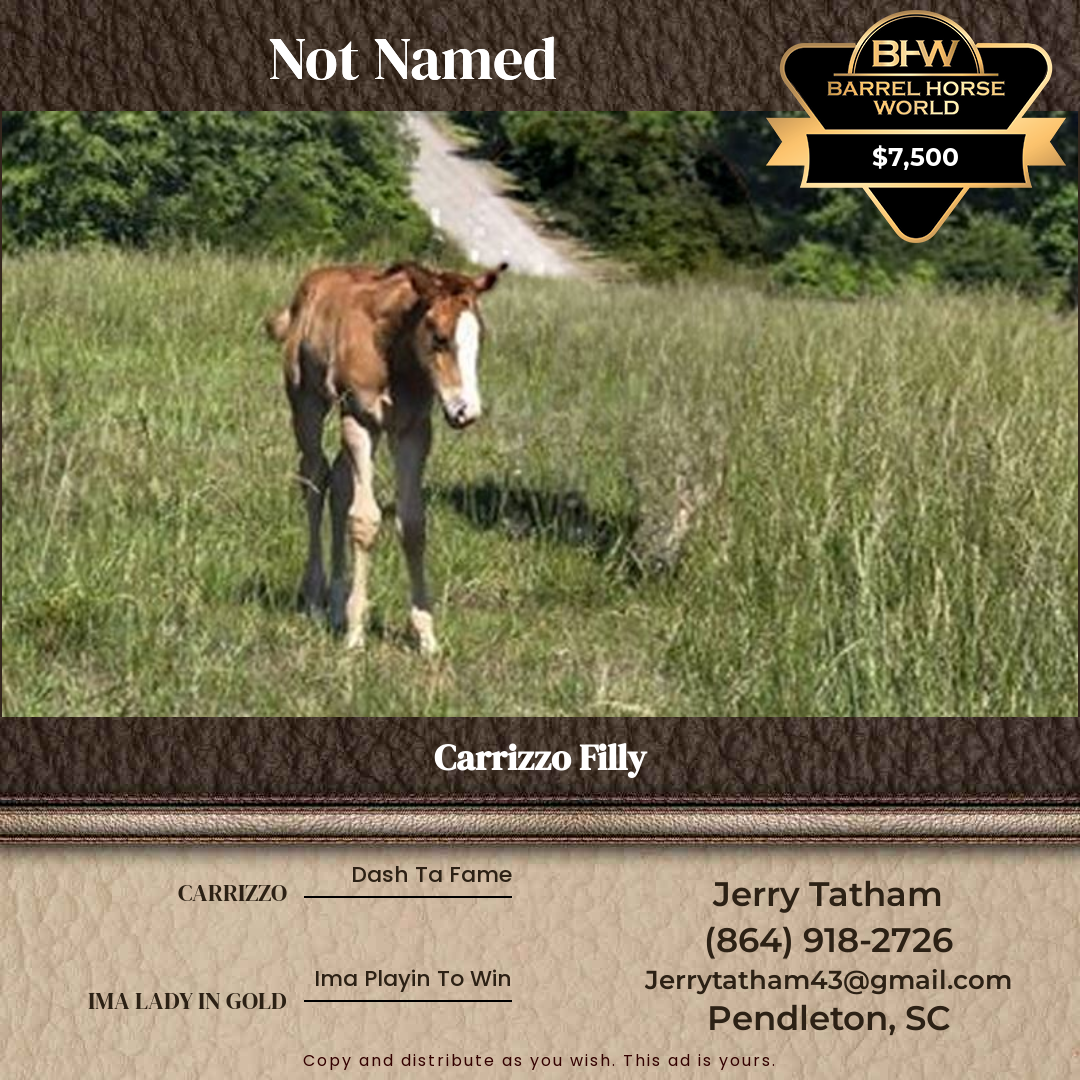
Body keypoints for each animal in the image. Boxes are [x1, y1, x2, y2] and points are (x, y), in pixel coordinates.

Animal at [266, 260, 507, 655]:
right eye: (440, 337)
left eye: (480, 338)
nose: (465, 411)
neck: (396, 354)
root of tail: (311, 283)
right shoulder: (360, 421)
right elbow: (365, 520)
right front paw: (355, 636)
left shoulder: (413, 431)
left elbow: (413, 524)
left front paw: (426, 637)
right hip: (306, 401)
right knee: (314, 477)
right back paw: (316, 601)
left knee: (339, 482)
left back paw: (335, 605)